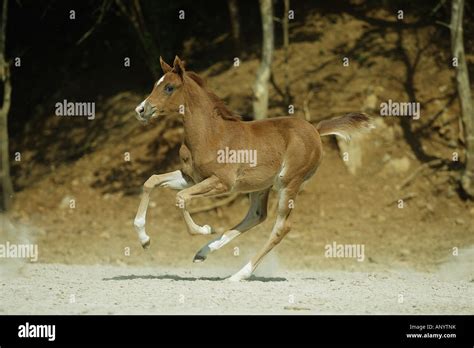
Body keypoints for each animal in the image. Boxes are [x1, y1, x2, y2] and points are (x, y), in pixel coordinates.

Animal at [133, 55, 374, 282]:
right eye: (155, 84)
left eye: (169, 87)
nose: (140, 110)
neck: (210, 134)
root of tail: (315, 129)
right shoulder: (190, 177)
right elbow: (151, 181)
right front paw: (145, 240)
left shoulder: (222, 183)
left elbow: (181, 198)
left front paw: (204, 229)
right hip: (260, 187)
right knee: (257, 216)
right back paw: (205, 252)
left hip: (289, 182)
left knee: (281, 227)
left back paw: (238, 275)